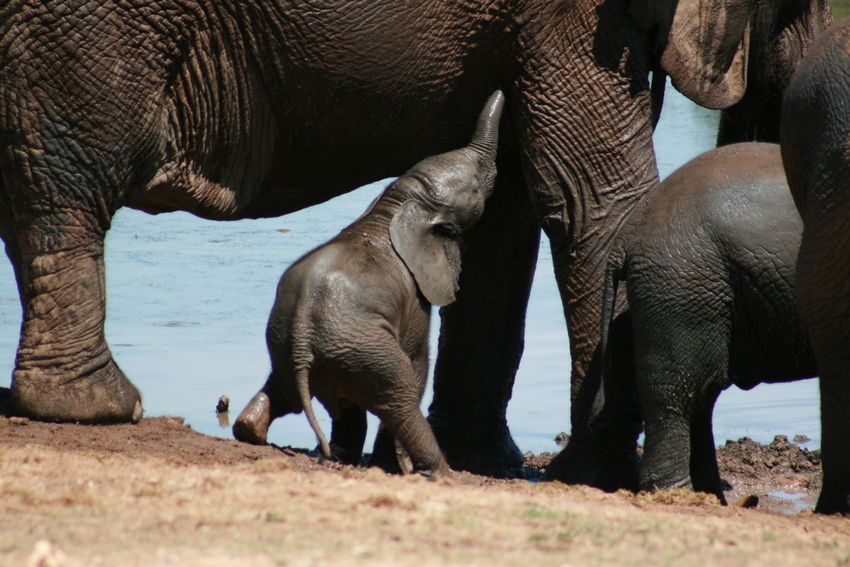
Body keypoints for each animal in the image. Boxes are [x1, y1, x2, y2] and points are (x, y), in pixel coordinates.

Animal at [232, 90, 504, 480]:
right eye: (475, 185)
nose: (501, 91)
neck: (399, 201)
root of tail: (301, 338)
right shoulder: (414, 299)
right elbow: (418, 361)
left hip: (290, 342)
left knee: (289, 389)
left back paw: (258, 432)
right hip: (366, 348)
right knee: (400, 394)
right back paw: (441, 474)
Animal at [596, 143, 816, 506]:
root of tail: (627, 234)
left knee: (700, 397)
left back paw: (711, 499)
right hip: (683, 287)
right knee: (681, 394)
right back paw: (679, 497)